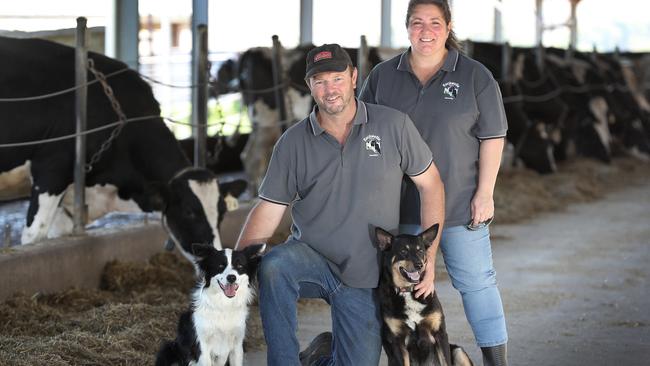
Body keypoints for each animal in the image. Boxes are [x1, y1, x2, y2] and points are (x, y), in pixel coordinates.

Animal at [374, 223, 470, 366]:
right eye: (403, 251)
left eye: (420, 251)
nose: (419, 265)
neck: (408, 291)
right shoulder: (398, 342)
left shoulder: (440, 334)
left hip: (458, 351)